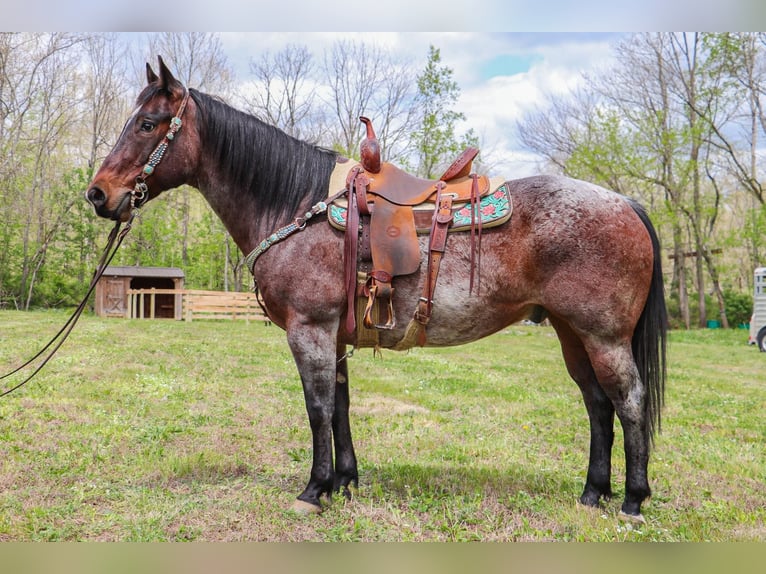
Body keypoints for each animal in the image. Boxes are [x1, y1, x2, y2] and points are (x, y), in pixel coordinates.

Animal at [87, 59, 668, 528]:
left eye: (146, 124)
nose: (97, 194)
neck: (295, 205)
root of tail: (626, 203)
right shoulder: (335, 336)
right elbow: (340, 406)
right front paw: (344, 482)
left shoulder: (310, 331)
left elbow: (318, 408)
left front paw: (313, 490)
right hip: (572, 333)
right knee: (597, 404)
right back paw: (592, 494)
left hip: (604, 336)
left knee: (629, 402)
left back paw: (632, 501)